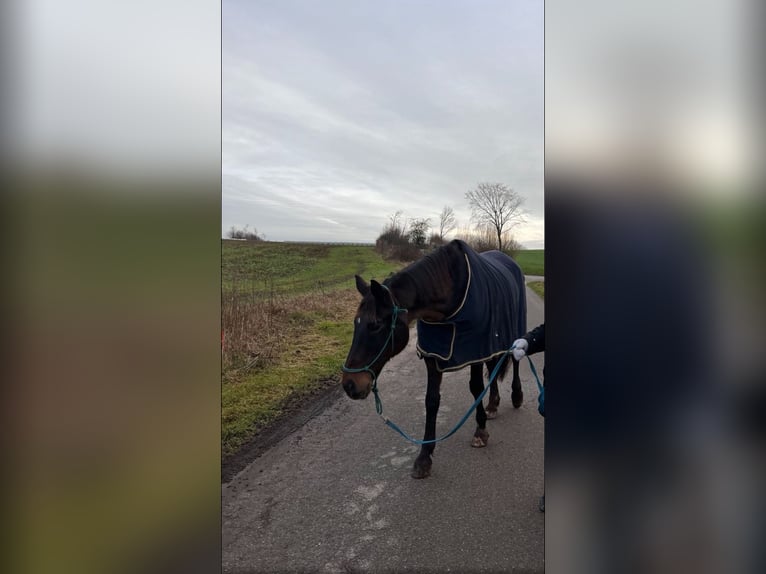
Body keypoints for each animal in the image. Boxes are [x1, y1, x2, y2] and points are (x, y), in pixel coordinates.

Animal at [342, 240, 528, 482]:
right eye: (355, 323)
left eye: (374, 325)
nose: (349, 384)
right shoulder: (434, 355)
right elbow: (431, 401)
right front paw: (424, 457)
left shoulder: (475, 350)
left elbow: (476, 387)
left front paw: (480, 431)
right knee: (493, 366)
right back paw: (493, 404)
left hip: (512, 332)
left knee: (515, 362)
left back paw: (516, 396)